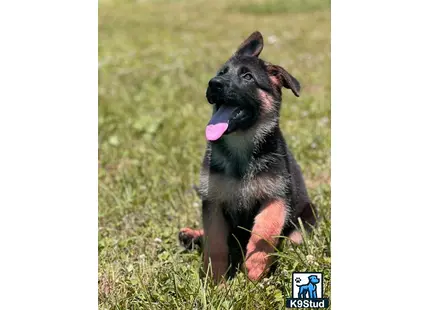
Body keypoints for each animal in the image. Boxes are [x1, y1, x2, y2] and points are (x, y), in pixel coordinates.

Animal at [178, 31, 316, 284]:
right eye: (222, 72)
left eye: (248, 77)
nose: (214, 84)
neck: (241, 146)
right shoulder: (213, 201)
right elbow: (215, 242)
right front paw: (215, 280)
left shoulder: (276, 198)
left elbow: (265, 231)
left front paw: (253, 269)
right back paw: (191, 235)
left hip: (307, 216)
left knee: (292, 239)